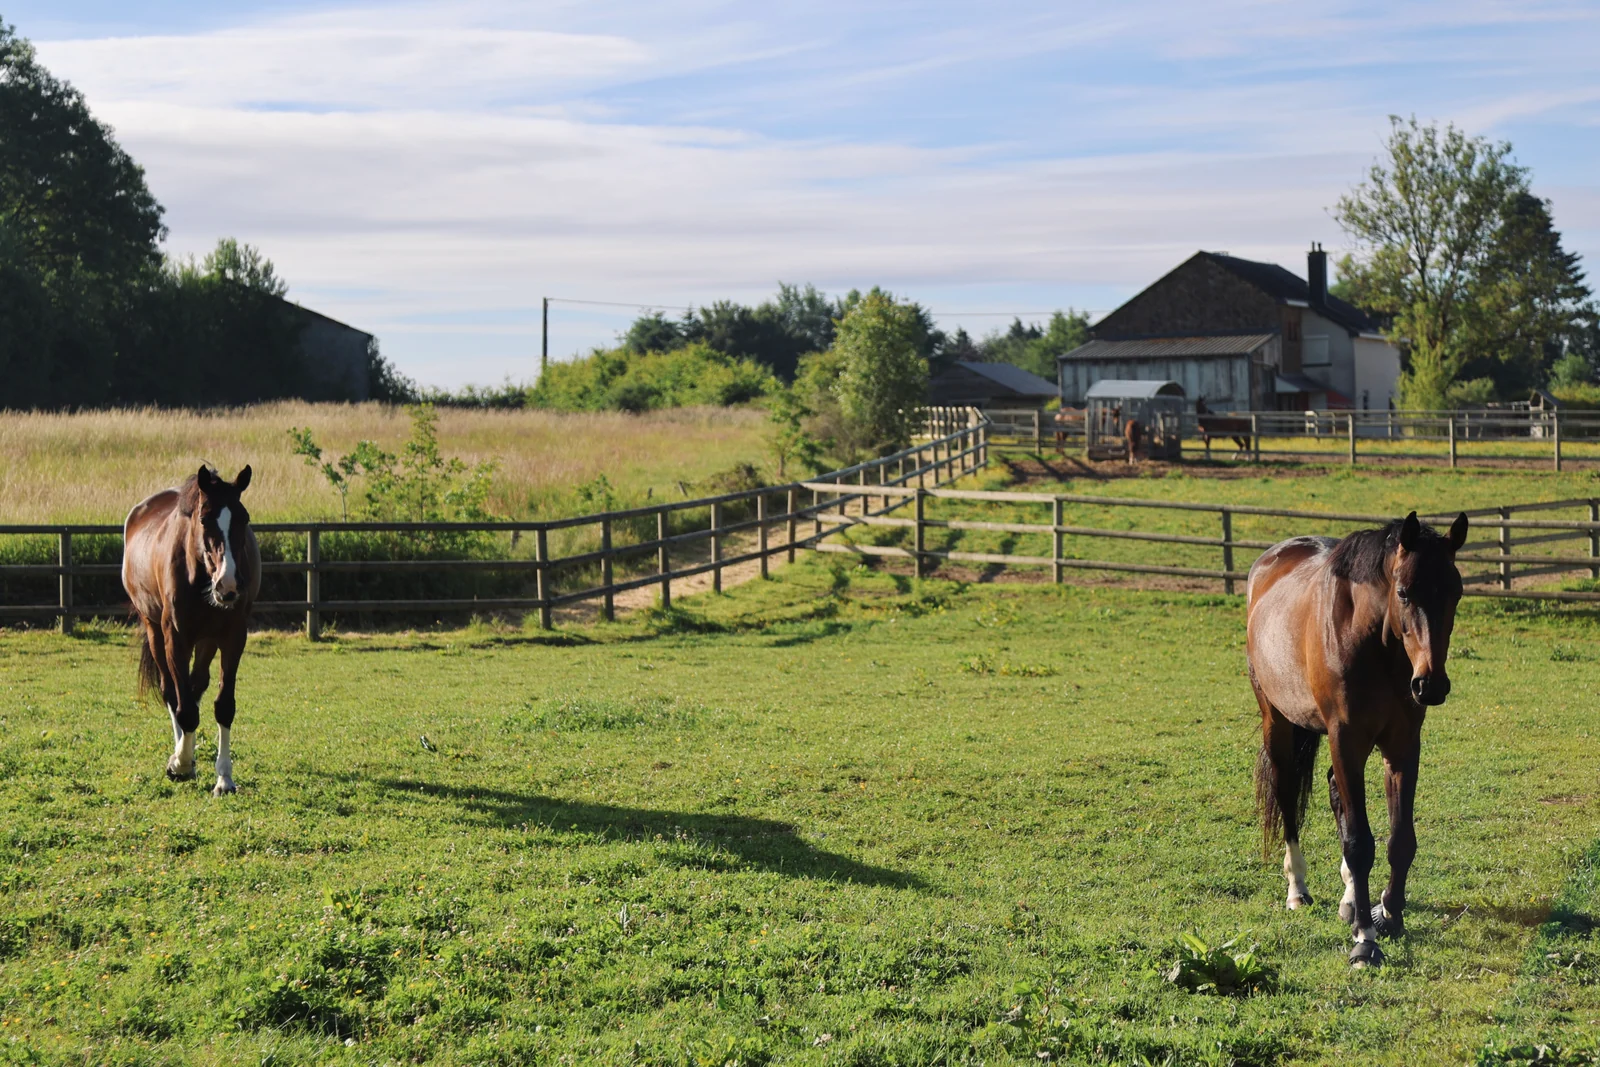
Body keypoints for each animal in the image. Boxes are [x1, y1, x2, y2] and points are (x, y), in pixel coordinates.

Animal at [122, 465, 259, 796]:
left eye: (244, 518)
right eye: (204, 519)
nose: (228, 584)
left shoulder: (233, 637)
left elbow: (223, 706)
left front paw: (224, 779)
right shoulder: (176, 638)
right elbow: (182, 706)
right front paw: (180, 764)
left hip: (207, 640)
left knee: (195, 687)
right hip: (154, 631)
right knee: (172, 692)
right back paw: (182, 756)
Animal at [1247, 510, 1467, 967]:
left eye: (1455, 592)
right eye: (1403, 592)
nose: (1431, 685)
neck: (1373, 642)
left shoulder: (1402, 745)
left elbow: (1400, 840)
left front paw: (1390, 915)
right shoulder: (1346, 739)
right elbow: (1360, 842)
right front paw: (1366, 939)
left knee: (1335, 793)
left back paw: (1349, 898)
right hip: (1277, 722)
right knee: (1287, 793)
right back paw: (1298, 889)